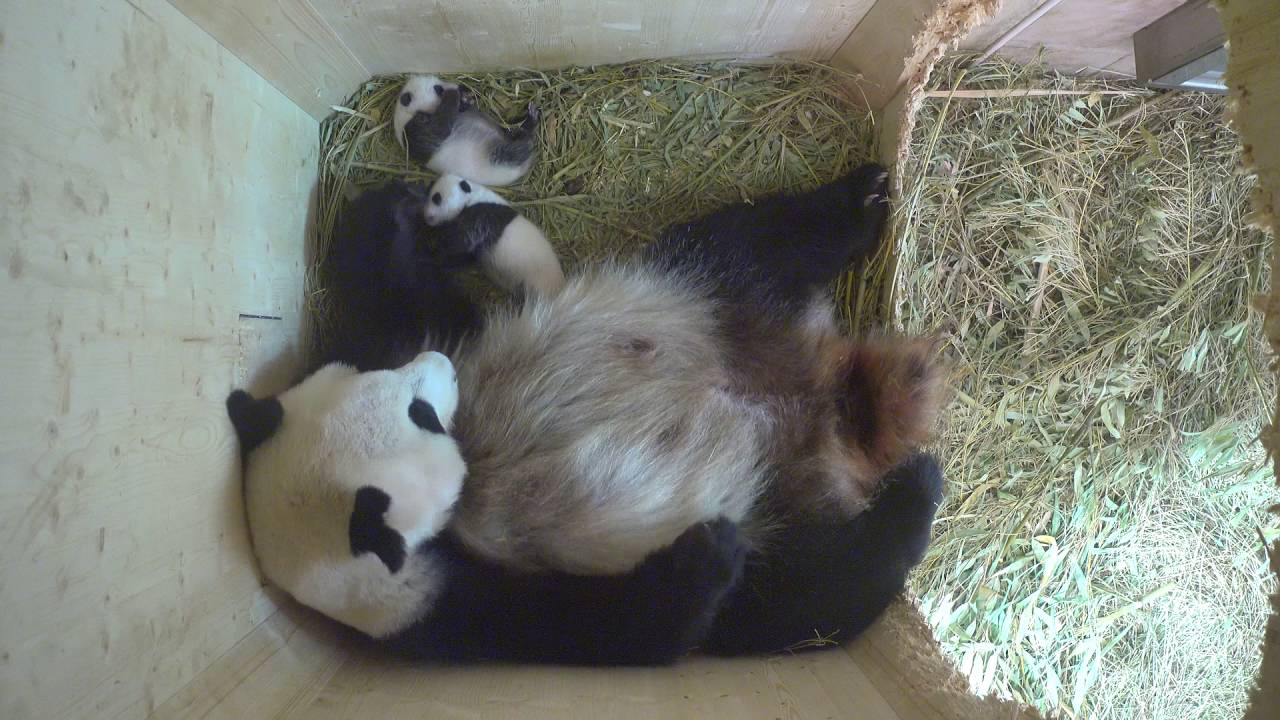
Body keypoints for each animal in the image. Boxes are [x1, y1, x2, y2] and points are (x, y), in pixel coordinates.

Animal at [227, 350, 751, 664]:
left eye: (370, 369)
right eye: (422, 414)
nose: (442, 360)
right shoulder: (439, 614)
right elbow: (606, 630)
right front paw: (710, 549)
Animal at [392, 75, 539, 187]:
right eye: (438, 89)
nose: (458, 86)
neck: (407, 112)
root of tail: (523, 169)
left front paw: (465, 97)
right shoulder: (413, 132)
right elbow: (439, 129)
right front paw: (454, 94)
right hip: (499, 160)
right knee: (519, 148)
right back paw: (529, 126)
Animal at [423, 173, 565, 297]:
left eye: (436, 198)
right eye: (429, 193)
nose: (427, 216)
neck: (472, 196)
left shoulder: (482, 215)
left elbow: (462, 241)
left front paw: (435, 252)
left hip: (535, 280)